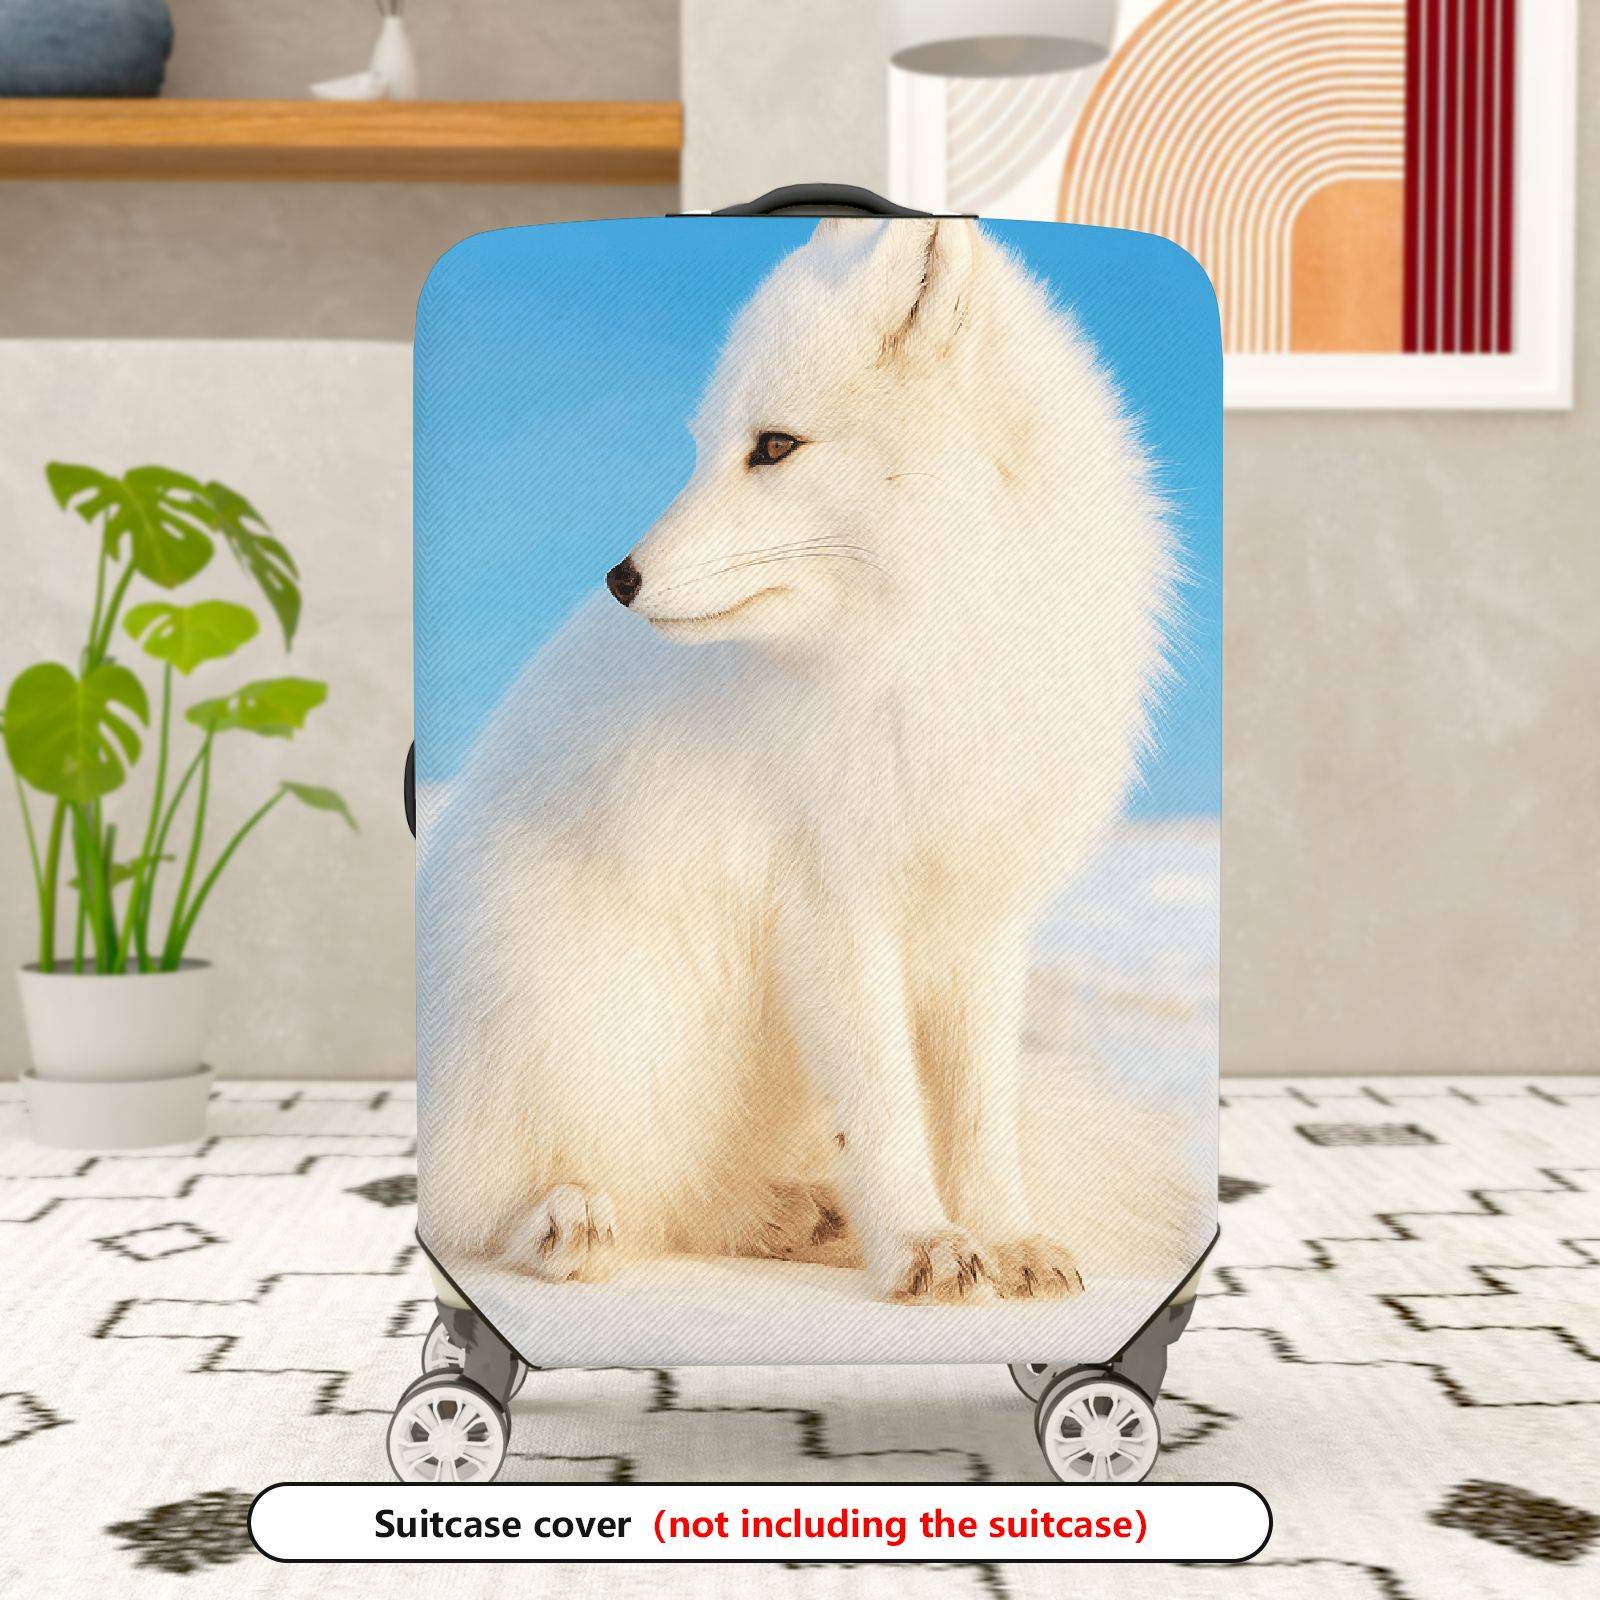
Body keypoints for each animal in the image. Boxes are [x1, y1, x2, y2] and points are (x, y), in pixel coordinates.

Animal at [417, 216, 1175, 1305]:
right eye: (703, 447)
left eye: (773, 446)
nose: (620, 578)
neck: (924, 645)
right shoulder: (830, 905)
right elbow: (889, 1109)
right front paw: (922, 1245)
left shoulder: (981, 914)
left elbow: (978, 1114)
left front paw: (1005, 1239)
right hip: (571, 1011)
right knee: (487, 1197)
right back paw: (567, 1220)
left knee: (699, 1199)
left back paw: (794, 1213)